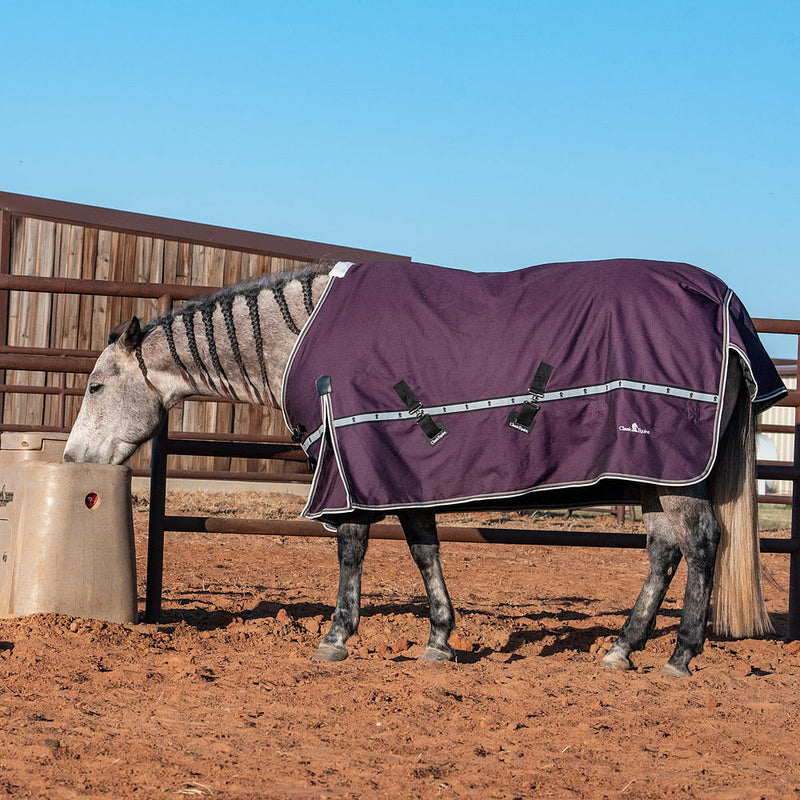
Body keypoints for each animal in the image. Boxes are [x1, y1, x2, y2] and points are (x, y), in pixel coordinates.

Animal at [63, 258, 786, 676]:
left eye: (96, 387)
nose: (71, 459)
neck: (303, 334)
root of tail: (725, 306)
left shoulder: (352, 465)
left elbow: (354, 547)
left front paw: (337, 636)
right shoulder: (397, 465)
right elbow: (424, 547)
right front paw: (439, 639)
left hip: (669, 471)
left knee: (701, 543)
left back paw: (680, 654)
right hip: (655, 473)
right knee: (665, 551)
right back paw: (623, 648)